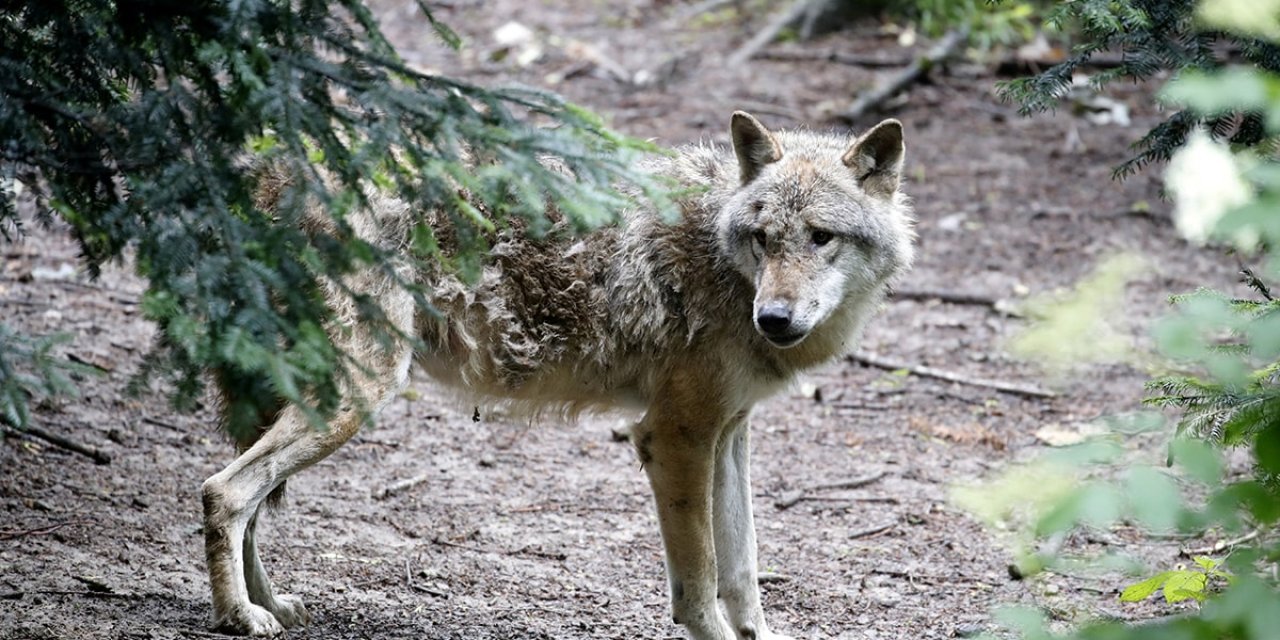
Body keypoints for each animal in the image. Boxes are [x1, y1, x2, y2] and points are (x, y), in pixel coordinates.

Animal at [202, 112, 911, 640]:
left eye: (820, 237)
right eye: (764, 238)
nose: (774, 318)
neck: (721, 261)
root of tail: (268, 174)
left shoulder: (730, 431)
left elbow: (743, 572)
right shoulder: (673, 435)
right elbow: (702, 582)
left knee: (249, 498)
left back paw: (271, 605)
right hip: (354, 397)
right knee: (224, 492)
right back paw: (240, 617)